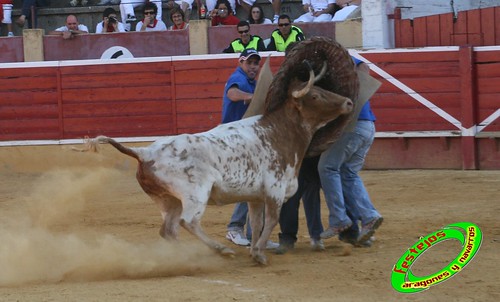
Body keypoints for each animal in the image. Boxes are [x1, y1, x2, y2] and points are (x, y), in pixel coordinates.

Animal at [85, 63, 352, 264]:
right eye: (315, 95)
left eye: (321, 88)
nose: (348, 102)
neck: (278, 133)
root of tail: (145, 152)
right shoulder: (274, 191)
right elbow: (271, 220)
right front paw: (259, 255)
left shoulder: (255, 197)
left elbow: (257, 223)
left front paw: (255, 251)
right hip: (195, 194)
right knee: (188, 222)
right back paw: (221, 250)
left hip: (167, 200)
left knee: (168, 230)